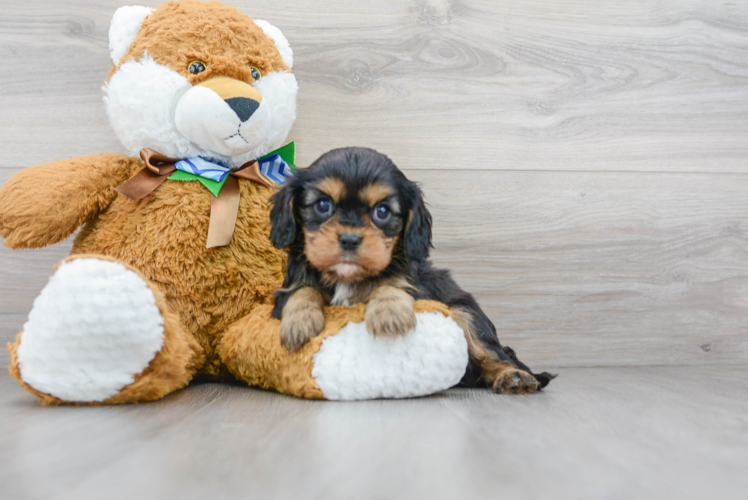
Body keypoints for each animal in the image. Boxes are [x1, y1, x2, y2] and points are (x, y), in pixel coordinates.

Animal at [268, 146, 556, 392]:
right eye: (323, 205)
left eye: (382, 211)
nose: (349, 239)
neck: (347, 277)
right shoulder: (286, 290)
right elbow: (301, 291)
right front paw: (299, 323)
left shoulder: (419, 287)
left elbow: (392, 283)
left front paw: (389, 313)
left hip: (465, 313)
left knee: (494, 354)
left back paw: (514, 377)